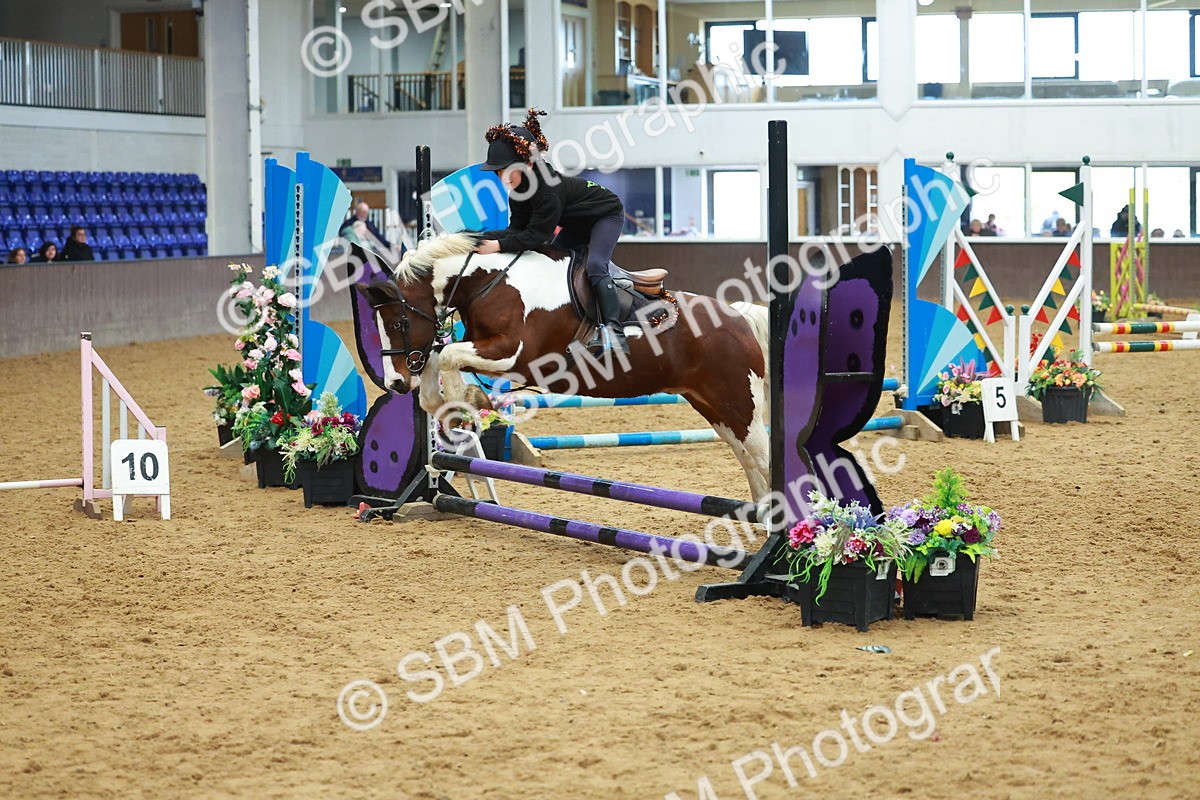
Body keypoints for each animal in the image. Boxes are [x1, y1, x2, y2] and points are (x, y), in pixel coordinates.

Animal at [358, 233, 772, 500]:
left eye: (399, 323)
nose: (396, 383)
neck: (491, 283)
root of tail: (740, 317)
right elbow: (437, 361)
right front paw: (452, 404)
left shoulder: (514, 355)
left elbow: (446, 356)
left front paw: (467, 401)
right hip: (714, 406)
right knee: (751, 464)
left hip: (739, 403)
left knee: (763, 460)